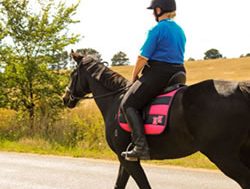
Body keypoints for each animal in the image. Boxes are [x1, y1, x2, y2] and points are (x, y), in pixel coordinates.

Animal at [62, 51, 250, 188]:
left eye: (72, 74)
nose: (65, 98)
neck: (114, 100)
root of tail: (240, 89)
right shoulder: (125, 158)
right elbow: (119, 184)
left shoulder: (126, 159)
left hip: (223, 156)